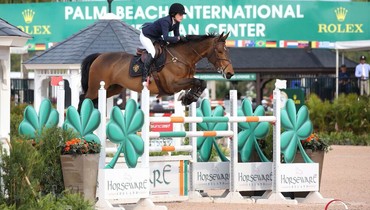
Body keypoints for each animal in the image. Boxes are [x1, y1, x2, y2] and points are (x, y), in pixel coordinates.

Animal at [78, 32, 234, 110]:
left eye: (227, 51)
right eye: (220, 51)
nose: (230, 73)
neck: (181, 57)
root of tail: (99, 56)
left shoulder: (184, 81)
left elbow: (201, 83)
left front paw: (188, 98)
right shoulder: (172, 85)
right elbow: (198, 81)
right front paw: (188, 98)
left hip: (113, 88)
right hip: (96, 87)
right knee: (83, 98)